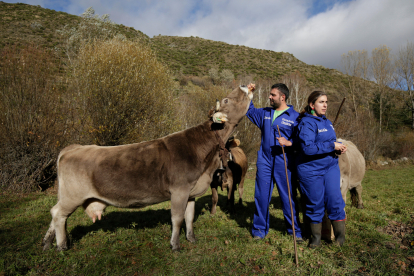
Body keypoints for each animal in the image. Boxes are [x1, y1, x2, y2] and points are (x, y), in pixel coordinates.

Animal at [43, 85, 254, 251]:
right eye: (227, 99)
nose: (244, 86)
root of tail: (74, 147)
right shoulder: (179, 190)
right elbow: (177, 218)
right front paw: (175, 245)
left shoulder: (191, 192)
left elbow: (189, 217)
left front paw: (191, 238)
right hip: (72, 196)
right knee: (58, 215)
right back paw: (61, 246)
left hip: (67, 196)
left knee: (55, 214)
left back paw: (47, 243)